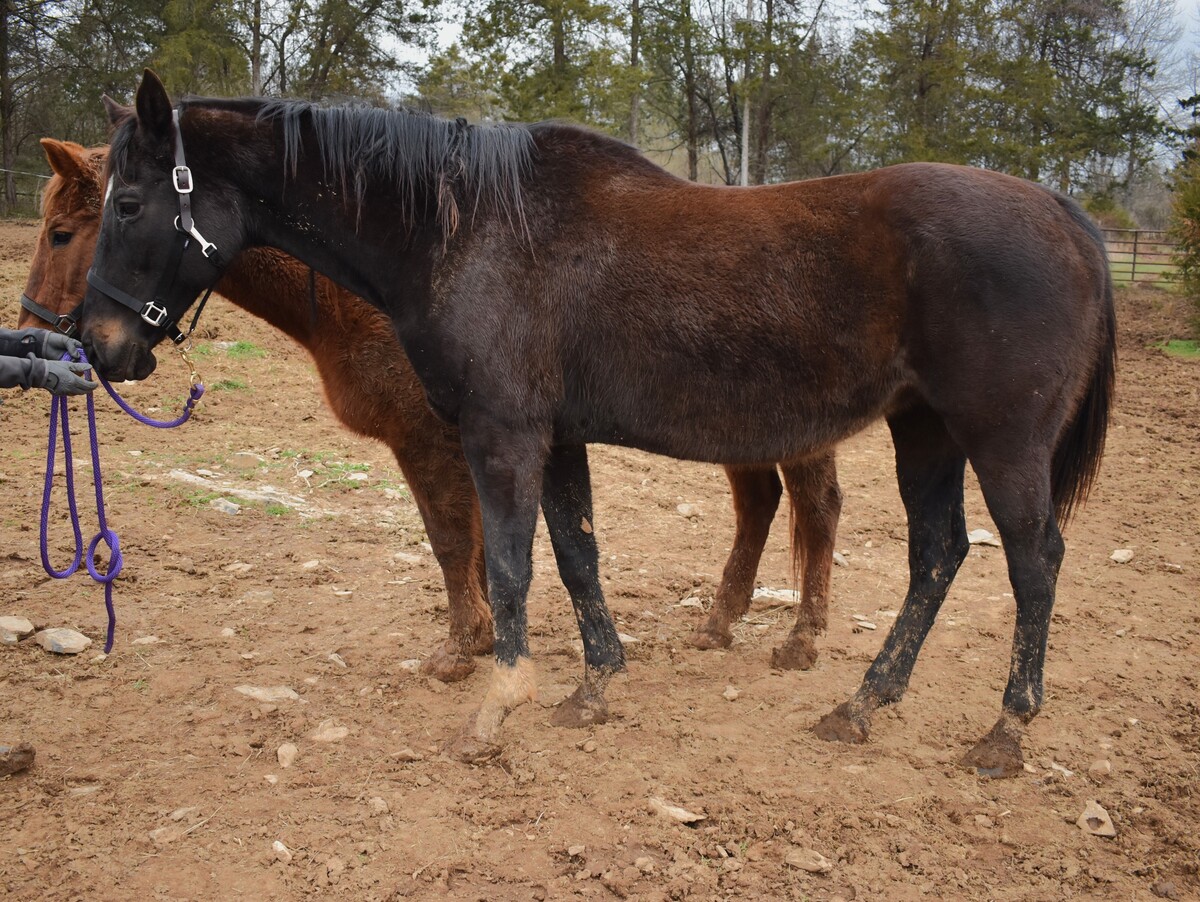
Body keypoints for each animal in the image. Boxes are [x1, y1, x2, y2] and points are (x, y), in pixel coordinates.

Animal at [21, 137, 844, 689]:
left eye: (65, 232)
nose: (49, 337)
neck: (379, 276)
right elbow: (478, 547)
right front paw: (487, 640)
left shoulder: (431, 440)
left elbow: (452, 541)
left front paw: (461, 648)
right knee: (760, 502)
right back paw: (721, 623)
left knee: (817, 505)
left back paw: (802, 640)